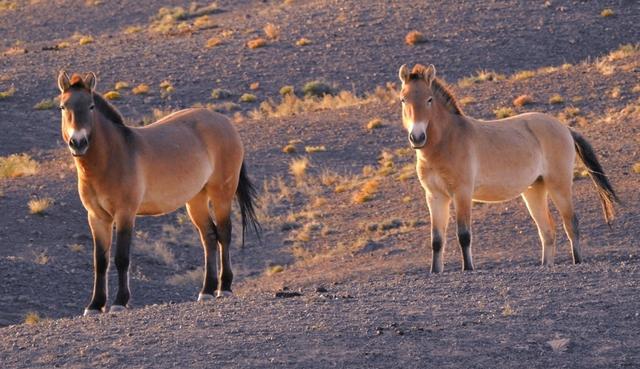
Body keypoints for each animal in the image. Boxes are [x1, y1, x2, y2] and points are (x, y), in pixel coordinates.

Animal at [57, 71, 260, 314]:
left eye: (91, 106)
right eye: (63, 107)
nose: (78, 143)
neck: (113, 157)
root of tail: (225, 122)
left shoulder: (125, 214)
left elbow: (121, 258)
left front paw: (119, 302)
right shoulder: (97, 217)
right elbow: (100, 261)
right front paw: (95, 305)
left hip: (221, 194)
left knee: (224, 233)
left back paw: (225, 288)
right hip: (196, 199)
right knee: (209, 236)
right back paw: (207, 291)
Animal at [398, 63, 616, 272]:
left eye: (429, 99)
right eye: (403, 99)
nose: (417, 137)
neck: (447, 140)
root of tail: (565, 128)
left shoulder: (462, 193)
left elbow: (464, 235)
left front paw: (468, 268)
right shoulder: (435, 197)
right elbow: (436, 240)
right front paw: (435, 271)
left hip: (559, 186)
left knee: (571, 224)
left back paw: (577, 261)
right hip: (534, 191)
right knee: (547, 231)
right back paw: (546, 265)